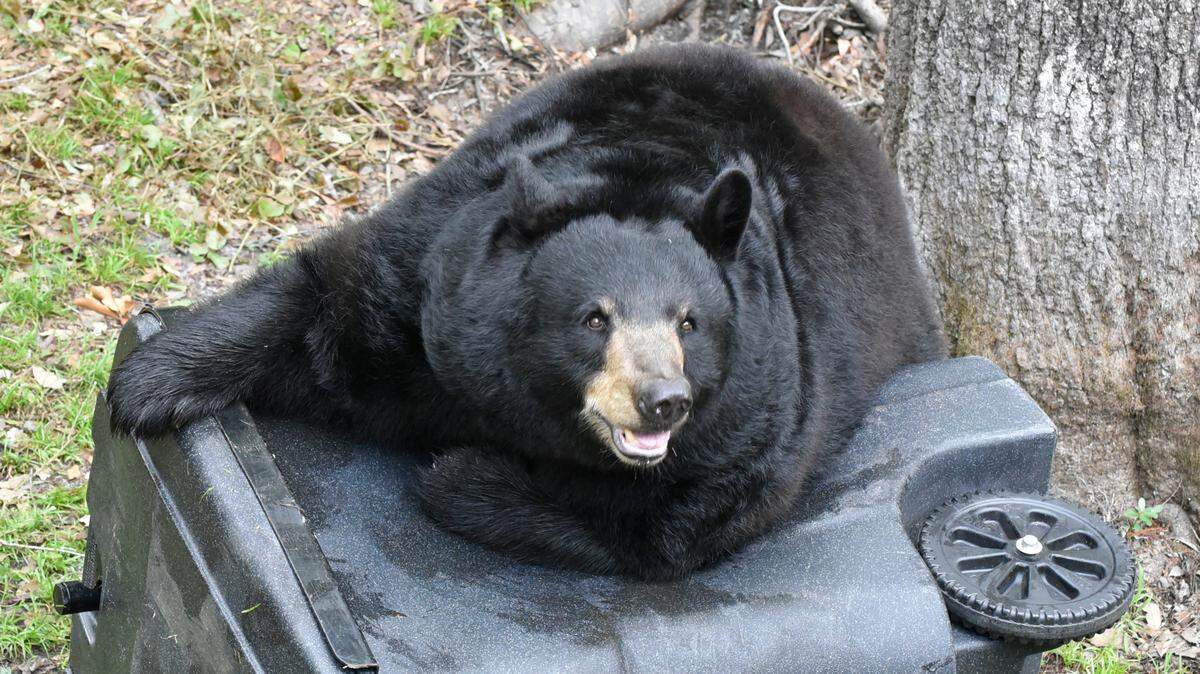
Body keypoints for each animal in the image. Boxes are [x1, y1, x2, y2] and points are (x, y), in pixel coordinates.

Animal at [106, 44, 946, 580]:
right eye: (594, 317)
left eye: (690, 322)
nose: (663, 400)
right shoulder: (428, 291)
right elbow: (327, 306)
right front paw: (147, 384)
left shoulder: (767, 397)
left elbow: (667, 527)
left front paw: (463, 471)